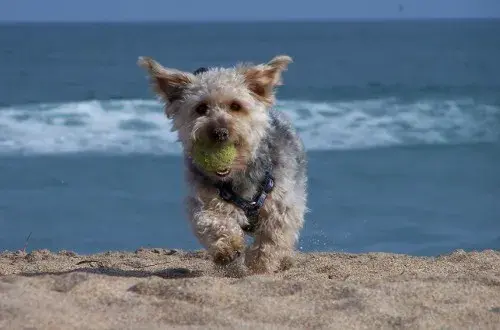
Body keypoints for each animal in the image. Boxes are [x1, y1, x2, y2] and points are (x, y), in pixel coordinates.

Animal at [139, 54, 306, 274]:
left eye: (236, 106)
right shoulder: (204, 202)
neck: (238, 175)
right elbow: (214, 222)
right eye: (201, 108)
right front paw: (227, 249)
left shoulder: (282, 204)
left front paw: (259, 265)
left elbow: (271, 238)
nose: (219, 132)